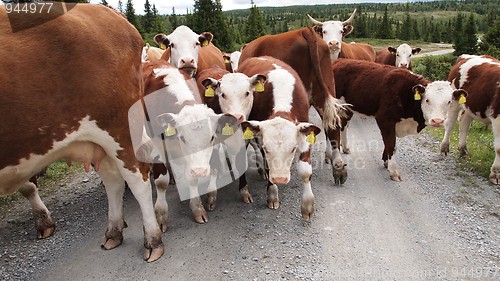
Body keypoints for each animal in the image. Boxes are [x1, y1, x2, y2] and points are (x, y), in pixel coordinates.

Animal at [332, 58, 468, 179]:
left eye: (449, 101)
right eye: (427, 100)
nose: (438, 121)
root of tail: (339, 60)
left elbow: (389, 144)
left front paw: (386, 161)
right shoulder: (384, 119)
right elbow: (391, 144)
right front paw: (393, 171)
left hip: (348, 107)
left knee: (343, 124)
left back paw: (345, 147)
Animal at [438, 53, 500, 183]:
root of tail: (465, 56)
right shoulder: (497, 117)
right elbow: (499, 148)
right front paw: (495, 175)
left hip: (469, 106)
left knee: (464, 125)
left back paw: (463, 150)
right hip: (454, 101)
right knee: (450, 124)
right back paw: (444, 147)